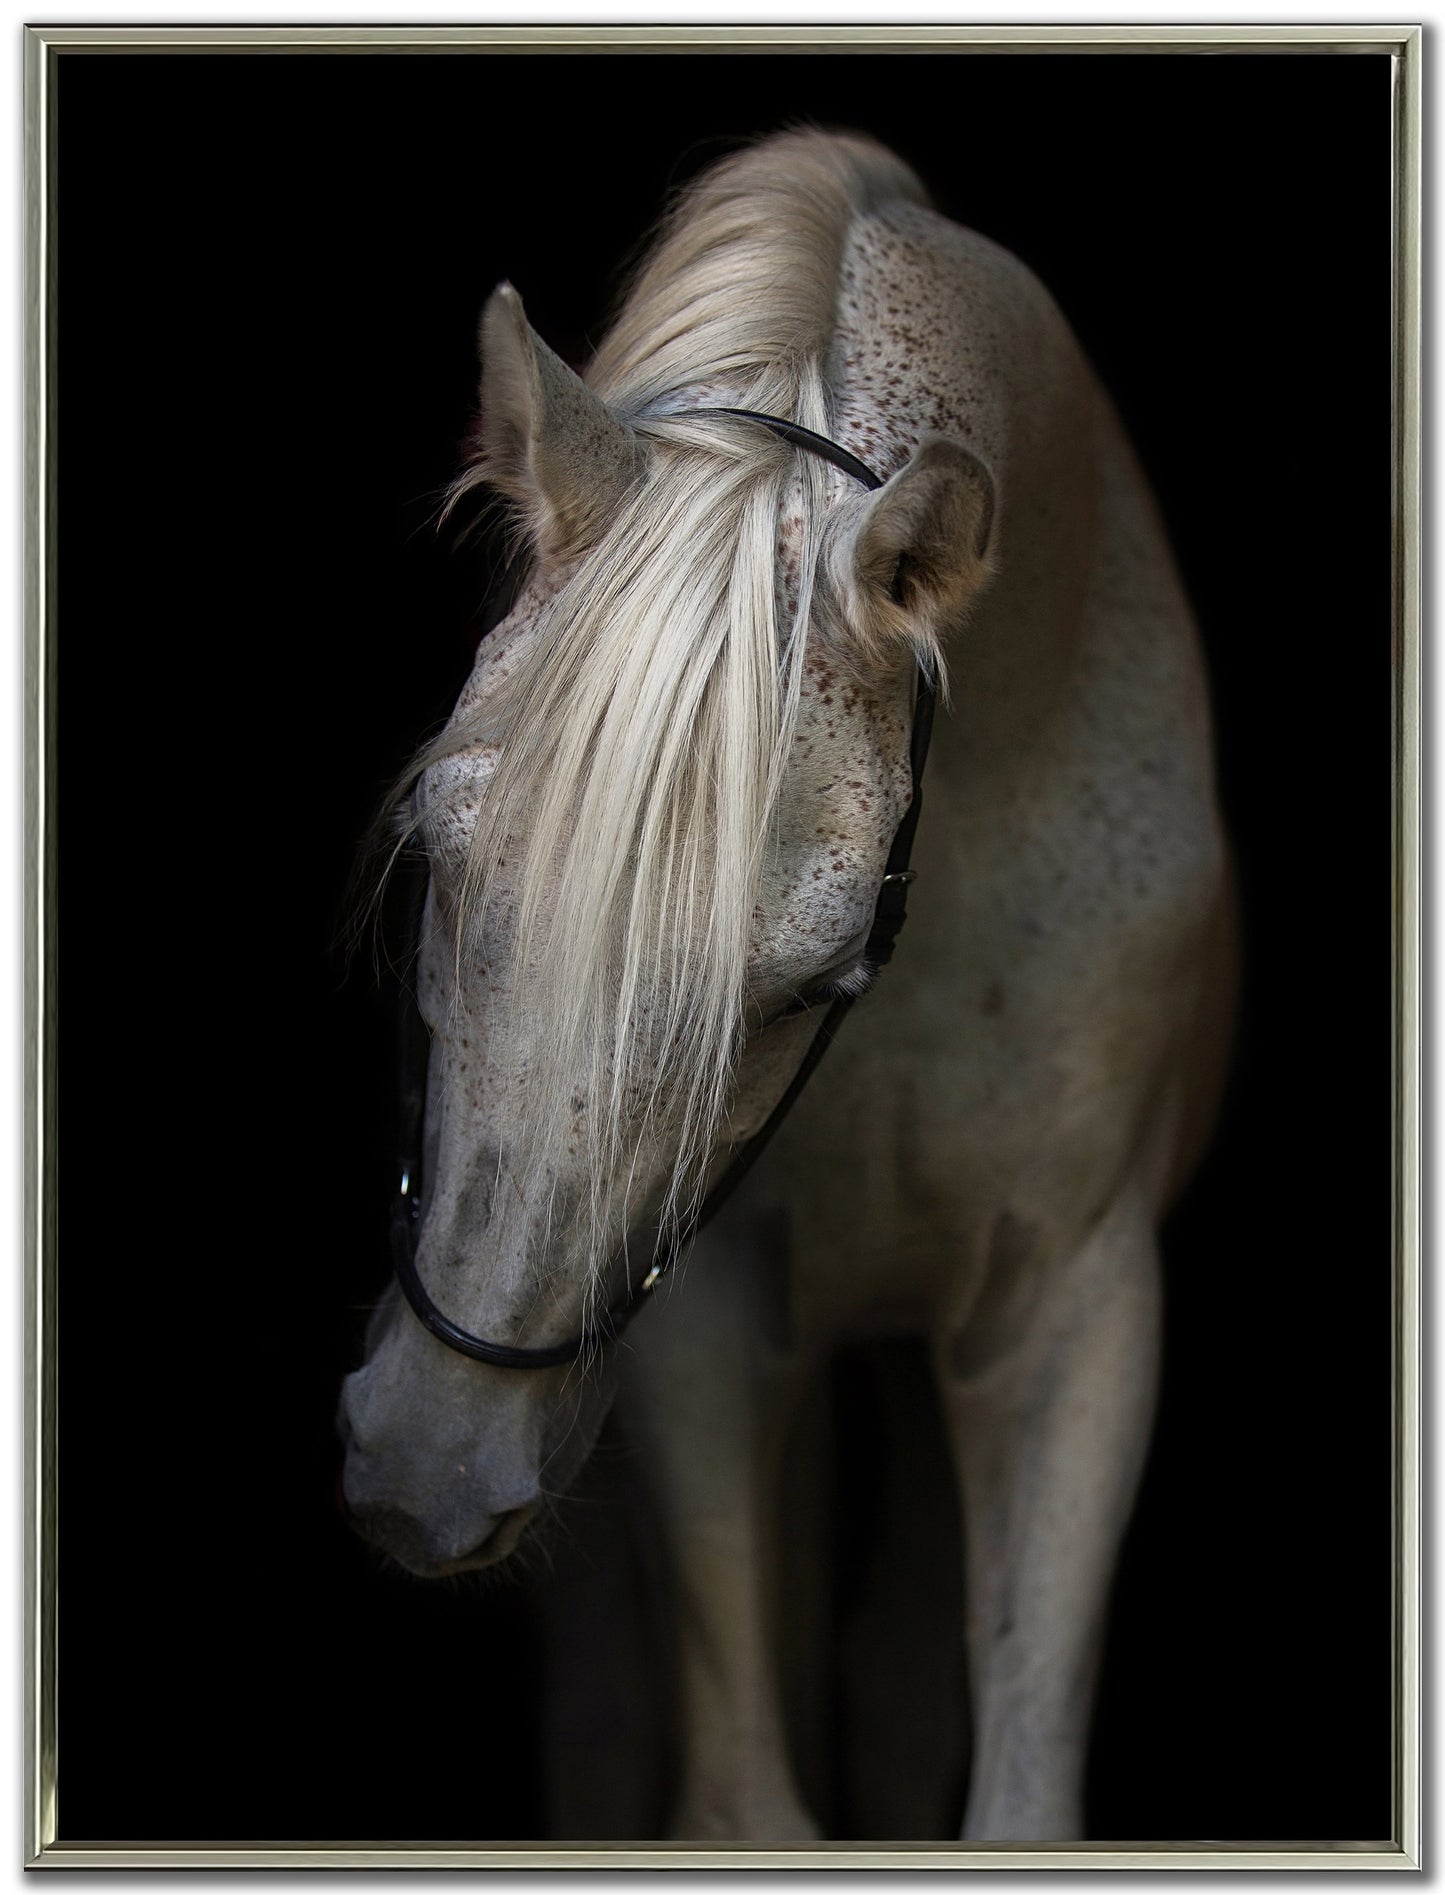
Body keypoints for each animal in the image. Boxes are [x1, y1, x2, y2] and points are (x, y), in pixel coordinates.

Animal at [338, 128, 1234, 1844]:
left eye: (815, 974)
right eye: (437, 851)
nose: (428, 1459)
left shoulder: (1074, 1309)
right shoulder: (705, 1317)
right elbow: (743, 1790)